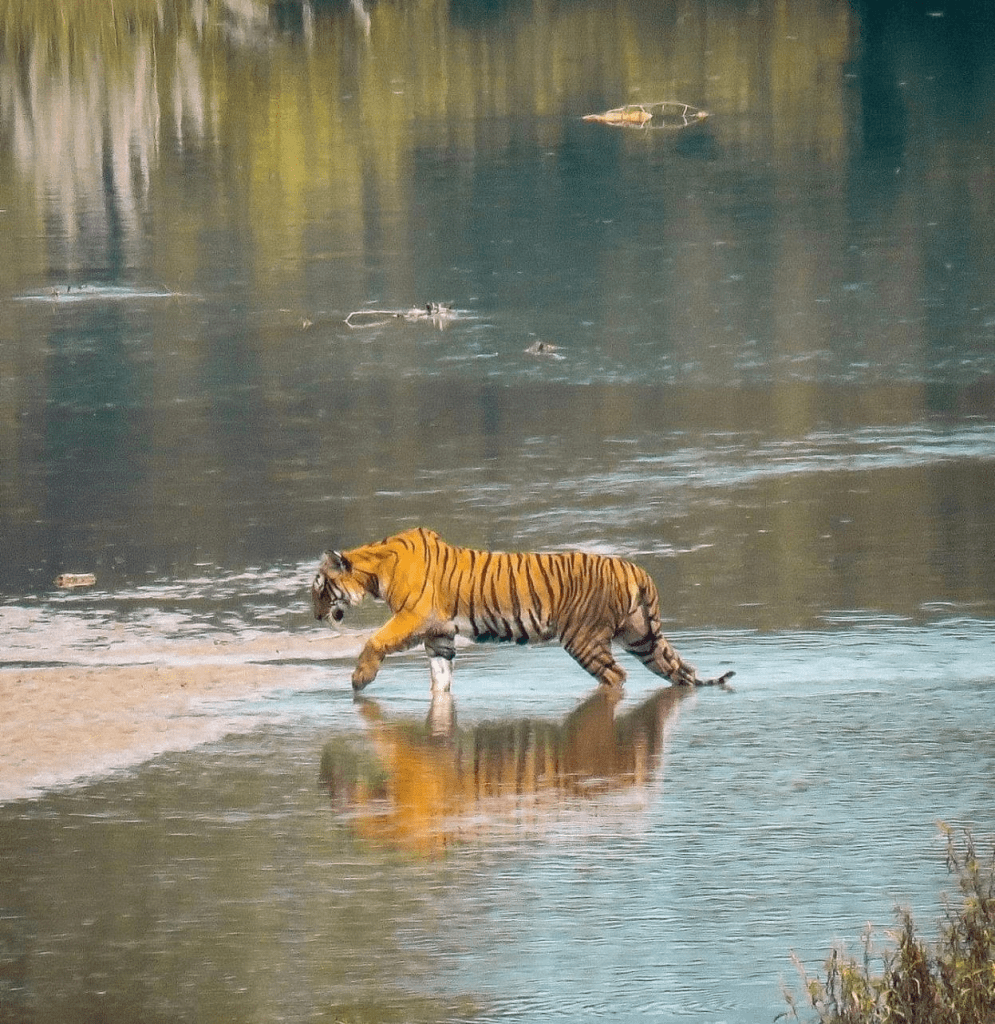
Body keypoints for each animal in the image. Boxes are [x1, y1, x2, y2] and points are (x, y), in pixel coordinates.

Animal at [309, 528, 728, 696]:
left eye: (319, 588)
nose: (314, 616)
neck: (374, 570)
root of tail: (636, 569)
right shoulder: (438, 633)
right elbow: (440, 676)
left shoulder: (413, 617)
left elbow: (374, 640)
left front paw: (359, 680)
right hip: (640, 635)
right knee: (679, 670)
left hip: (584, 638)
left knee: (616, 677)